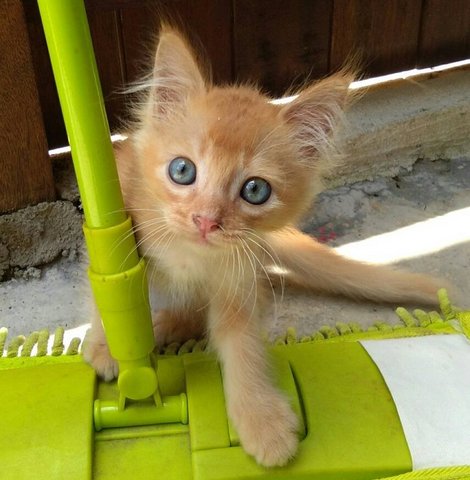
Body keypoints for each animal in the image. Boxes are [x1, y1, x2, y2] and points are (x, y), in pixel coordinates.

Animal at [83, 25, 444, 464]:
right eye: (182, 170)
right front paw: (107, 345)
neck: (191, 255)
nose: (206, 220)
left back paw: (165, 324)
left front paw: (260, 418)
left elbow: (243, 345)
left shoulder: (239, 280)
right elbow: (110, 287)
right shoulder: (120, 209)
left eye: (255, 190)